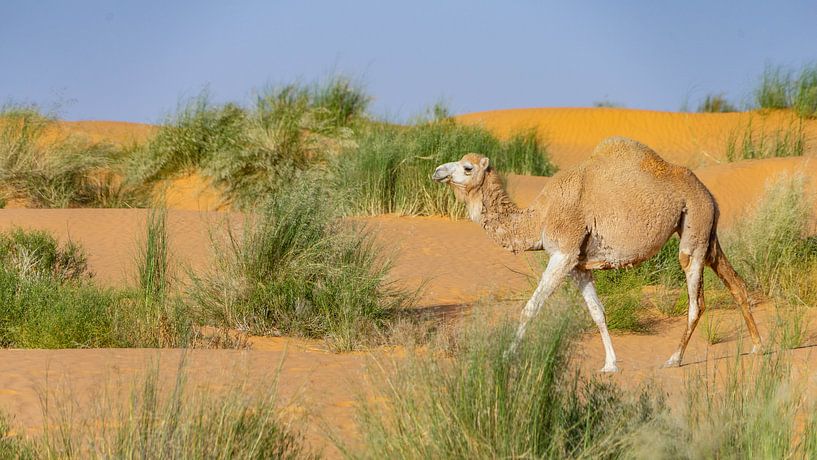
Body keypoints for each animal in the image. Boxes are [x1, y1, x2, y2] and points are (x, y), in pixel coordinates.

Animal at [431, 136, 761, 372]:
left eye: (467, 167)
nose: (437, 171)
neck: (540, 217)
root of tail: (707, 192)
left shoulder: (563, 252)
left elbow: (531, 307)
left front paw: (506, 355)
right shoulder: (579, 265)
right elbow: (598, 313)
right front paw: (610, 365)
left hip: (693, 224)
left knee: (696, 300)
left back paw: (674, 359)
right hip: (706, 230)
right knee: (736, 283)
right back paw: (758, 346)